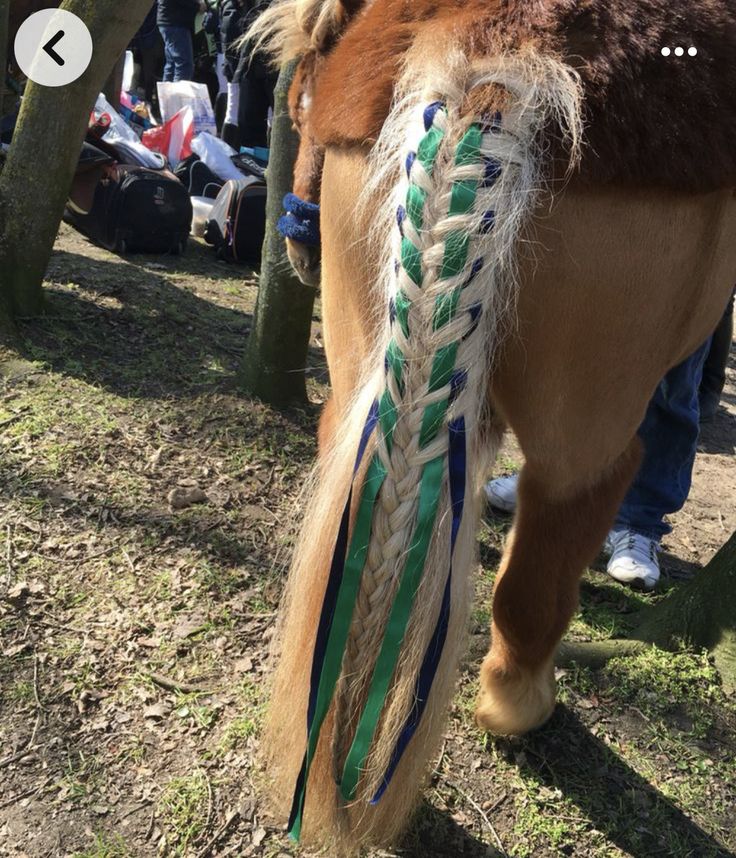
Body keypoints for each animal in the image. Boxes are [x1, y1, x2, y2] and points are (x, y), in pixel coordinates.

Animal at [252, 0, 736, 848]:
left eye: (299, 102)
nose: (295, 242)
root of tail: (491, 42)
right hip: (595, 393)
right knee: (568, 513)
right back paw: (519, 703)